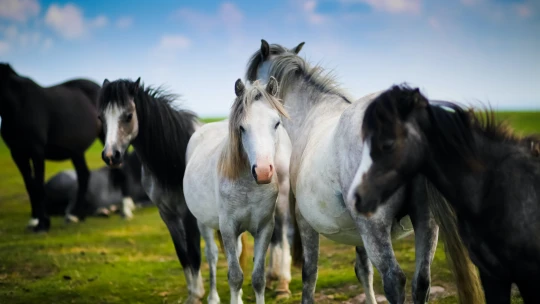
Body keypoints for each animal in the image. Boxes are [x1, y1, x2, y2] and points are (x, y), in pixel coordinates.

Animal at [0, 63, 112, 232]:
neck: (18, 104)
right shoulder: (17, 153)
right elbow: (30, 185)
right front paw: (35, 220)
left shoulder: (37, 151)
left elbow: (38, 185)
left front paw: (42, 224)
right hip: (76, 151)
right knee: (83, 175)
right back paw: (76, 215)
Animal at [97, 77, 207, 302]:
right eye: (101, 117)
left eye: (128, 116)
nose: (111, 156)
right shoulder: (167, 215)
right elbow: (183, 255)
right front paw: (193, 293)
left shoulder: (188, 215)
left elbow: (194, 253)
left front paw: (197, 295)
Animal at [182, 78, 294, 304]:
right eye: (241, 127)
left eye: (276, 123)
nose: (263, 171)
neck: (249, 187)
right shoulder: (227, 228)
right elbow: (234, 276)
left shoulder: (265, 228)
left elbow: (258, 278)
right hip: (203, 223)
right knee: (212, 255)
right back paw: (213, 297)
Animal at [245, 41, 438, 304]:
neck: (312, 111)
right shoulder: (358, 233)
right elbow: (363, 271)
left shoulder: (305, 220)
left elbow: (309, 273)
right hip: (426, 223)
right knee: (422, 282)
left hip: (375, 227)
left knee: (394, 280)